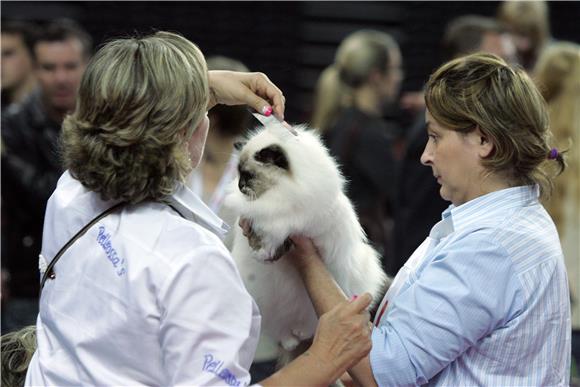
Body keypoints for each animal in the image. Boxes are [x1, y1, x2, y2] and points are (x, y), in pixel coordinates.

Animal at [224, 123, 388, 352]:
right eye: (239, 175)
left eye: (249, 176)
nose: (240, 186)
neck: (280, 195)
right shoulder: (263, 222)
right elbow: (263, 241)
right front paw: (262, 254)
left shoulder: (298, 227)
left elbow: (281, 240)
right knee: (283, 330)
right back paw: (290, 340)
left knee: (304, 327)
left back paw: (299, 334)